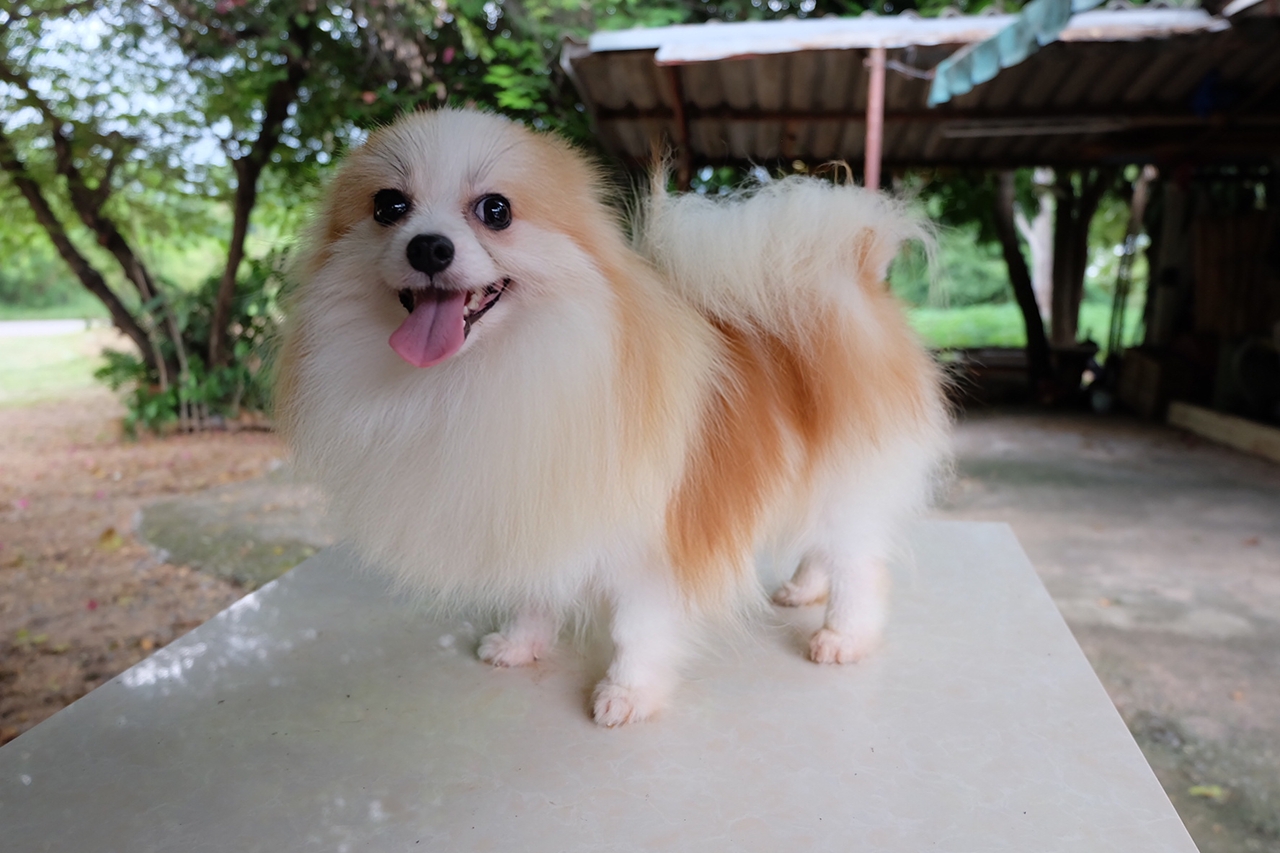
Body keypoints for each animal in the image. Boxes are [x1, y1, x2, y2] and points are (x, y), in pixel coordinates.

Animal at [276, 109, 948, 726]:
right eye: (389, 206)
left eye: (496, 211)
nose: (428, 246)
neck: (483, 377)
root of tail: (855, 276)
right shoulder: (539, 509)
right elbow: (535, 593)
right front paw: (520, 644)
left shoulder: (649, 543)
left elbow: (637, 628)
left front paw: (627, 694)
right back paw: (804, 587)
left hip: (851, 479)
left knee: (859, 564)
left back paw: (842, 635)